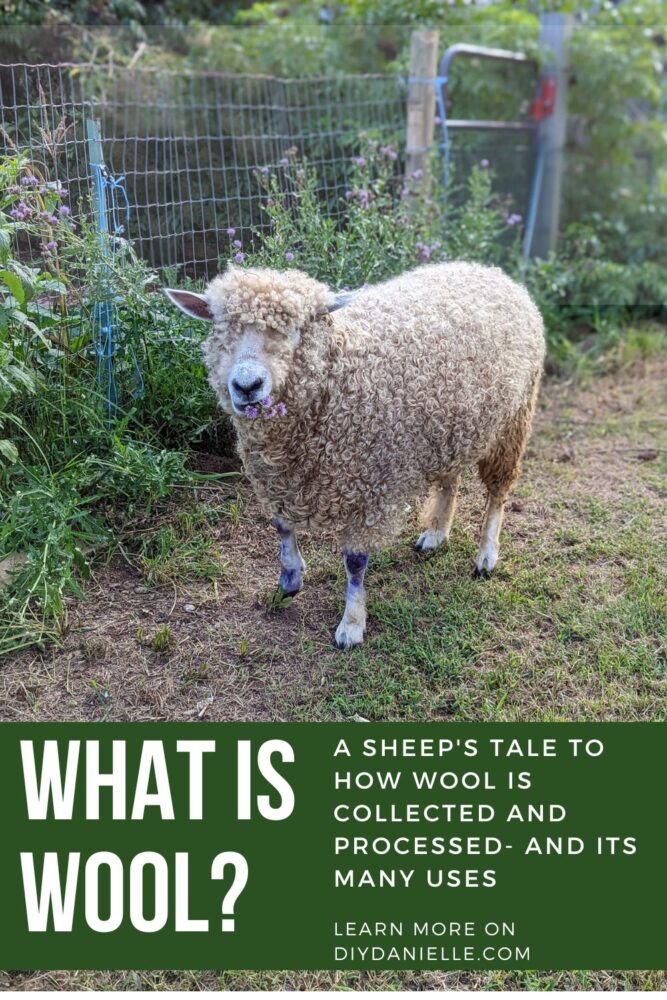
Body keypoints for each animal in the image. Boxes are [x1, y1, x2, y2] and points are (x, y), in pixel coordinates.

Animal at [164, 258, 544, 648]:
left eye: (297, 330)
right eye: (220, 326)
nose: (246, 386)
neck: (339, 373)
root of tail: (491, 271)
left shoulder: (372, 486)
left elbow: (356, 562)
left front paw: (351, 623)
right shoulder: (278, 476)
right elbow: (281, 526)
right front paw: (290, 579)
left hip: (515, 419)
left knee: (498, 492)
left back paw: (486, 555)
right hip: (454, 427)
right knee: (450, 478)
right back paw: (437, 533)